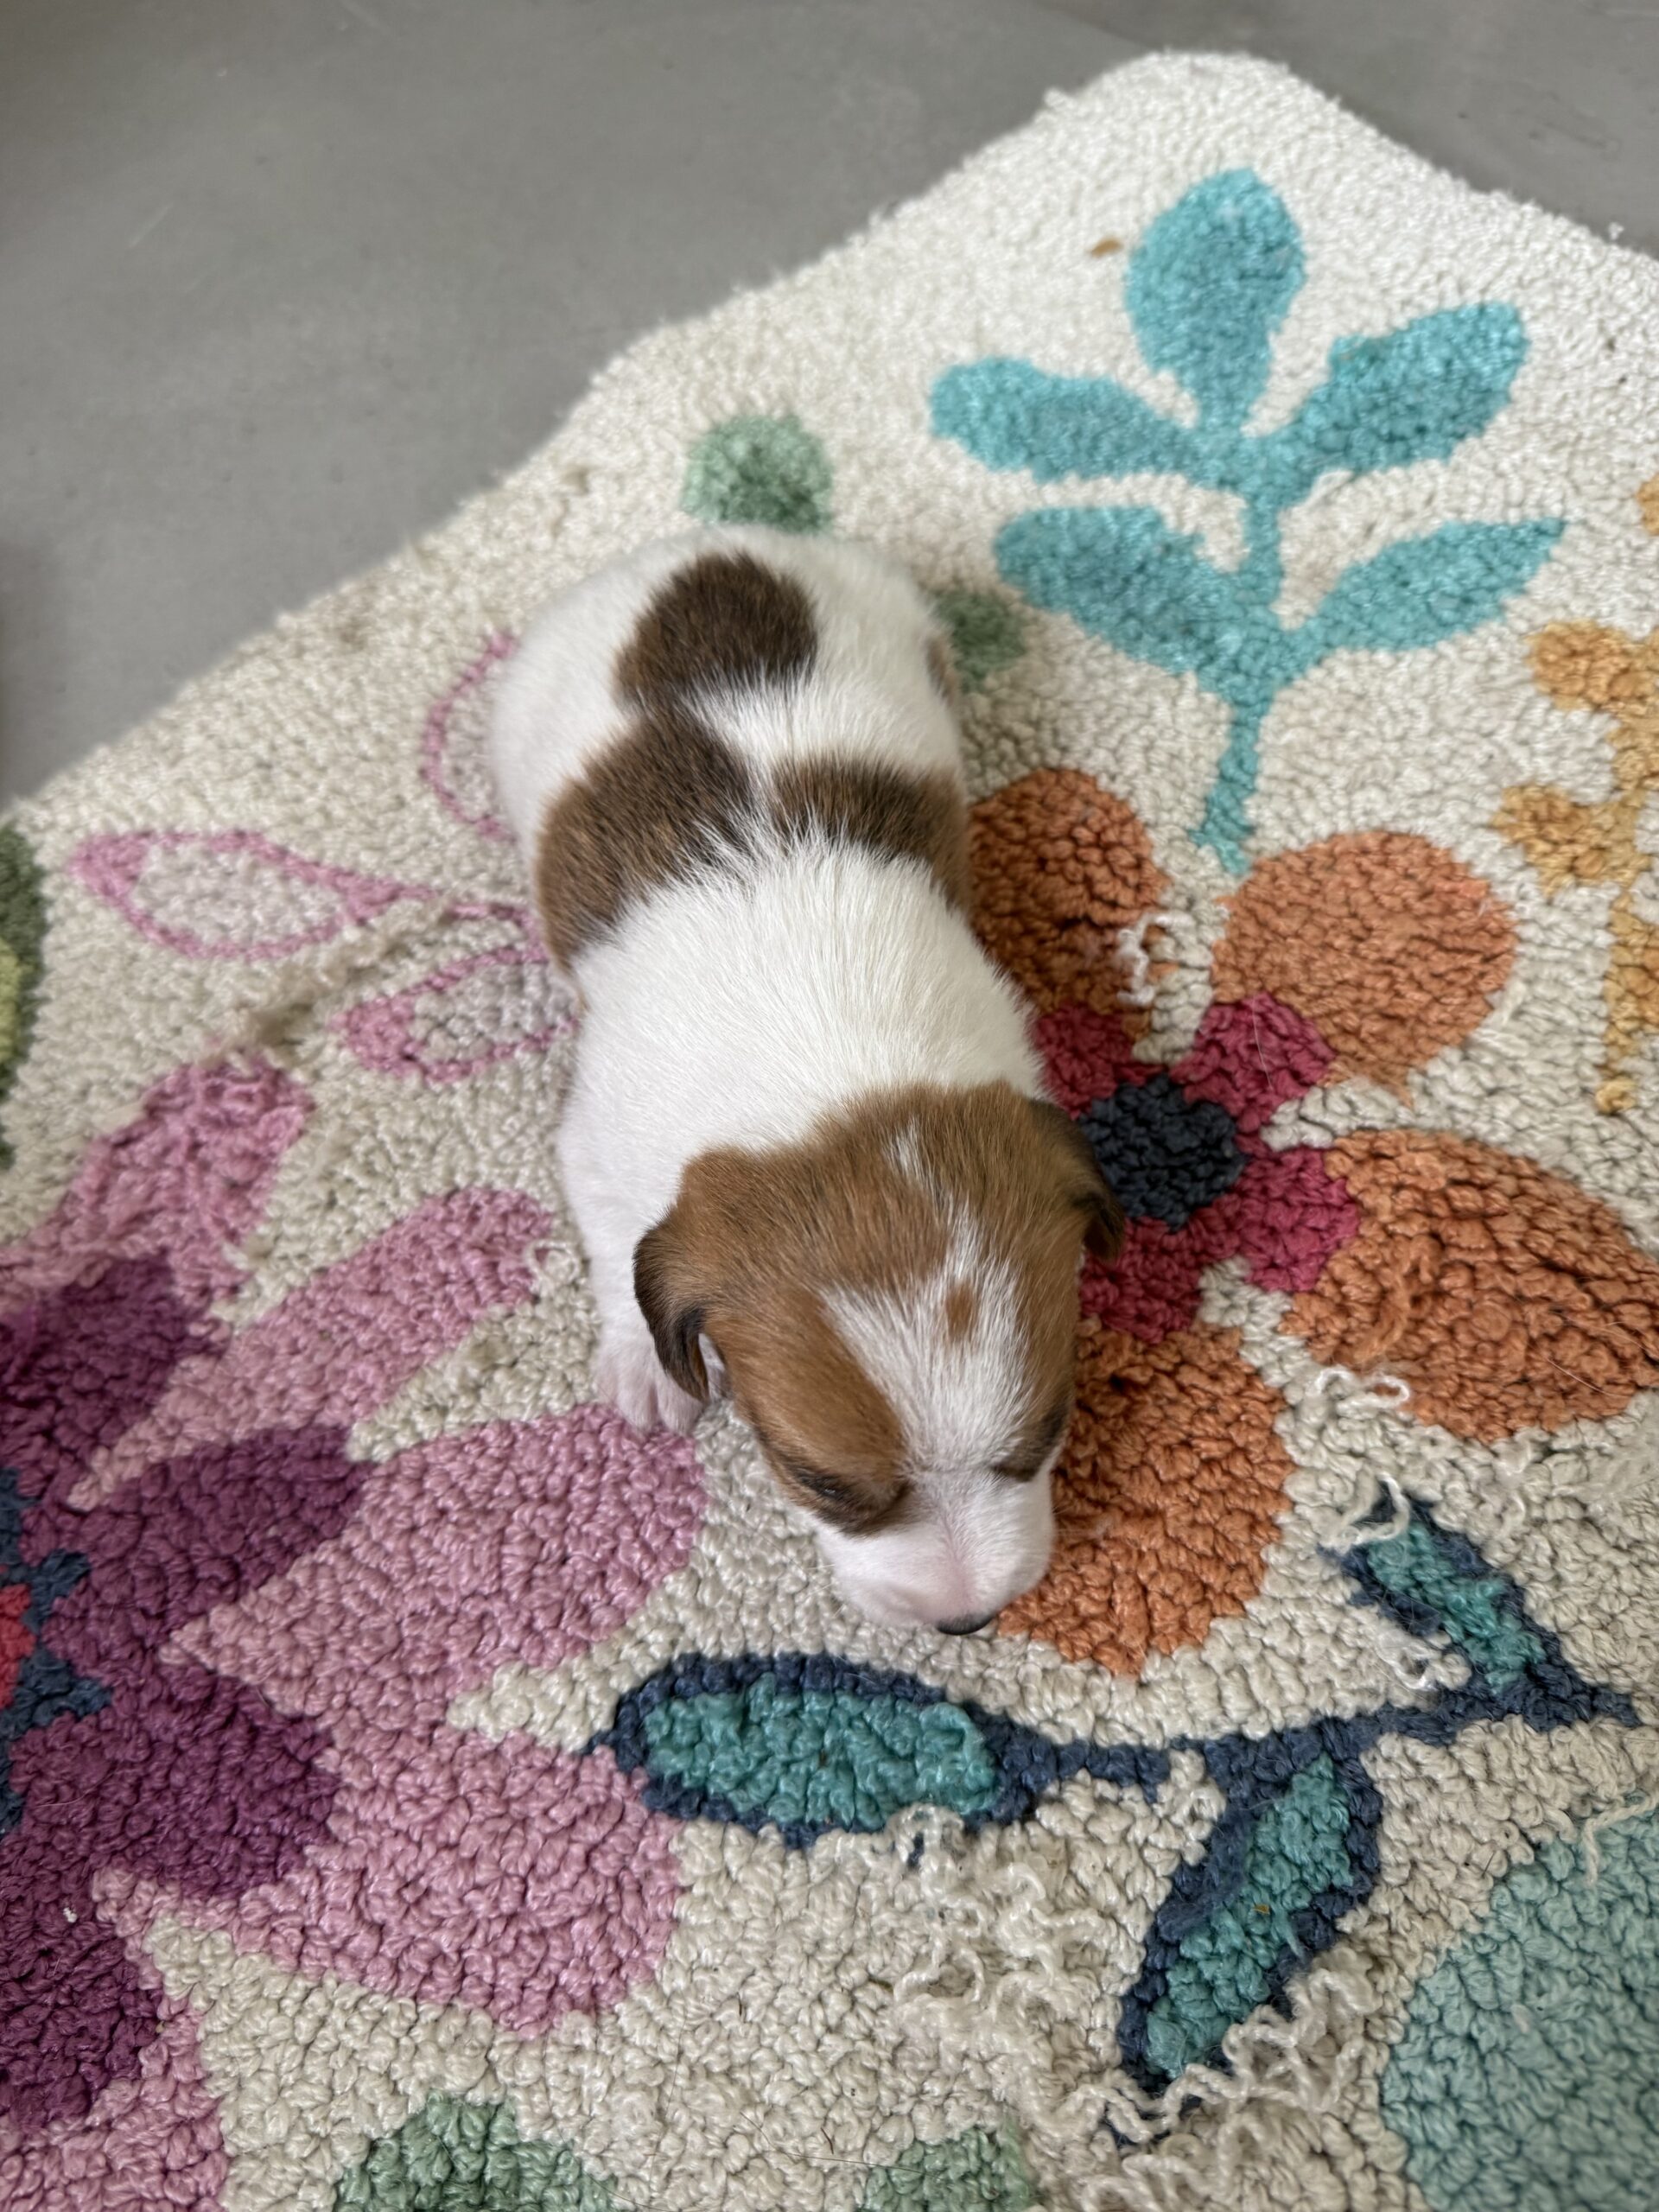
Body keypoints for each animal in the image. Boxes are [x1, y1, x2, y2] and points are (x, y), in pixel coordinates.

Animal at [491, 525, 1122, 1630]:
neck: (834, 1072)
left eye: (1047, 1430)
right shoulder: (594, 1138)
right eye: (819, 1481)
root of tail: (703, 540)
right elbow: (616, 1244)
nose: (968, 1620)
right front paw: (643, 1365)